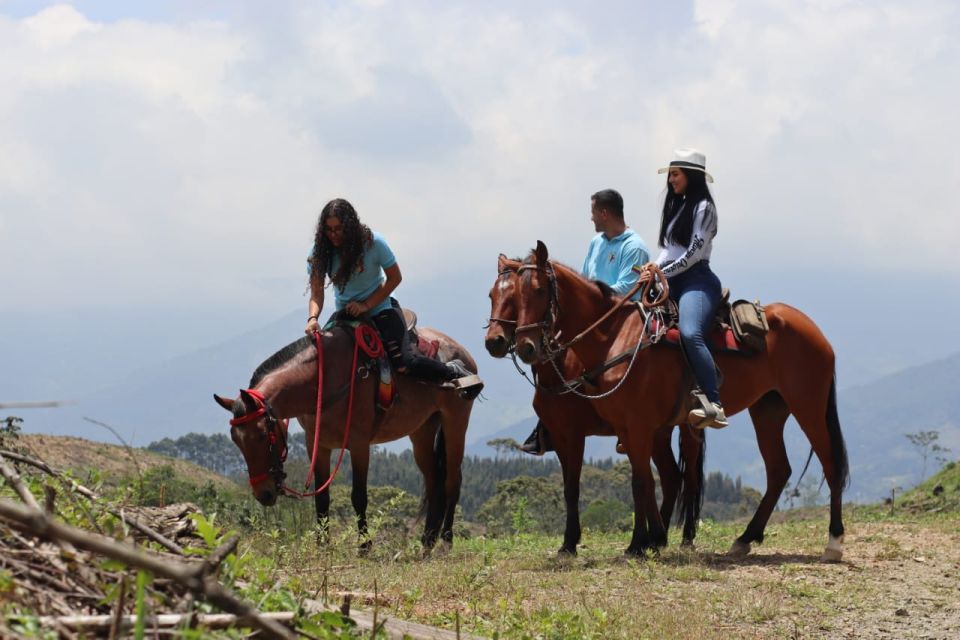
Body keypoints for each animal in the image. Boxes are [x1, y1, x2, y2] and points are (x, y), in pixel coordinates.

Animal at [214, 324, 476, 552]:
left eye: (261, 435)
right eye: (236, 440)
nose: (264, 494)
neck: (321, 383)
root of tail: (462, 352)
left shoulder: (359, 445)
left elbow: (359, 497)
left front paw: (364, 546)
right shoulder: (317, 444)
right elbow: (322, 496)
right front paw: (322, 545)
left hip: (455, 422)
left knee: (452, 481)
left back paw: (445, 542)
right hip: (422, 430)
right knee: (434, 482)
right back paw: (427, 543)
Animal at [488, 255, 704, 556]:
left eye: (516, 298)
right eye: (492, 296)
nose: (493, 341)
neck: (561, 368)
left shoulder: (575, 435)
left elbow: (578, 486)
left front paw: (573, 541)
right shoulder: (560, 435)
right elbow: (570, 488)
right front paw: (569, 543)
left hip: (685, 428)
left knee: (689, 479)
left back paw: (684, 537)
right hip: (659, 431)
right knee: (671, 477)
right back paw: (658, 538)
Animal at [510, 242, 848, 564]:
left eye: (539, 290)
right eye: (514, 294)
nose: (525, 346)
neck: (616, 337)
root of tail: (815, 331)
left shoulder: (634, 426)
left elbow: (640, 483)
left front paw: (638, 544)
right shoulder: (624, 428)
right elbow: (642, 482)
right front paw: (648, 540)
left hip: (808, 405)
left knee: (830, 464)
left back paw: (833, 542)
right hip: (768, 410)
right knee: (778, 471)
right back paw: (745, 538)